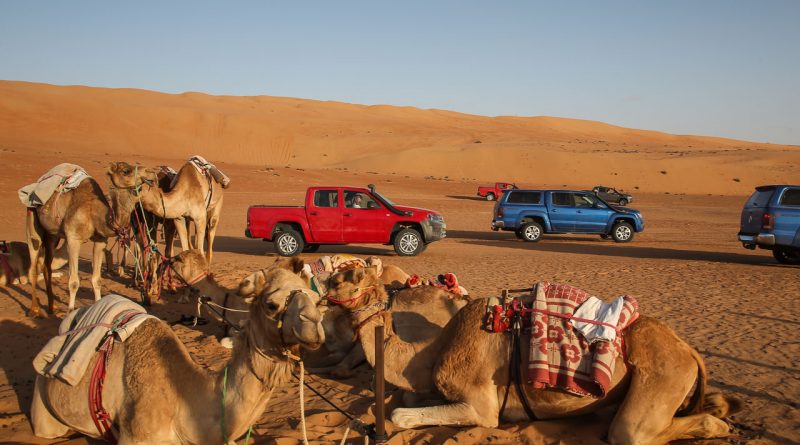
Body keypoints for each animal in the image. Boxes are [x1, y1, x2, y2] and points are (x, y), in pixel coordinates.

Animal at [27, 175, 137, 318]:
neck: (92, 211)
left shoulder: (100, 241)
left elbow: (97, 279)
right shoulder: (73, 239)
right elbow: (74, 282)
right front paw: (70, 311)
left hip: (52, 235)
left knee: (46, 266)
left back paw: (52, 307)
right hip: (33, 221)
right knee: (34, 265)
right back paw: (34, 309)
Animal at [328, 270, 740, 444]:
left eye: (342, 279)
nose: (323, 291)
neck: (434, 350)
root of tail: (688, 349)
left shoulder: (481, 406)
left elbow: (400, 413)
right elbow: (405, 399)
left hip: (660, 378)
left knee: (633, 433)